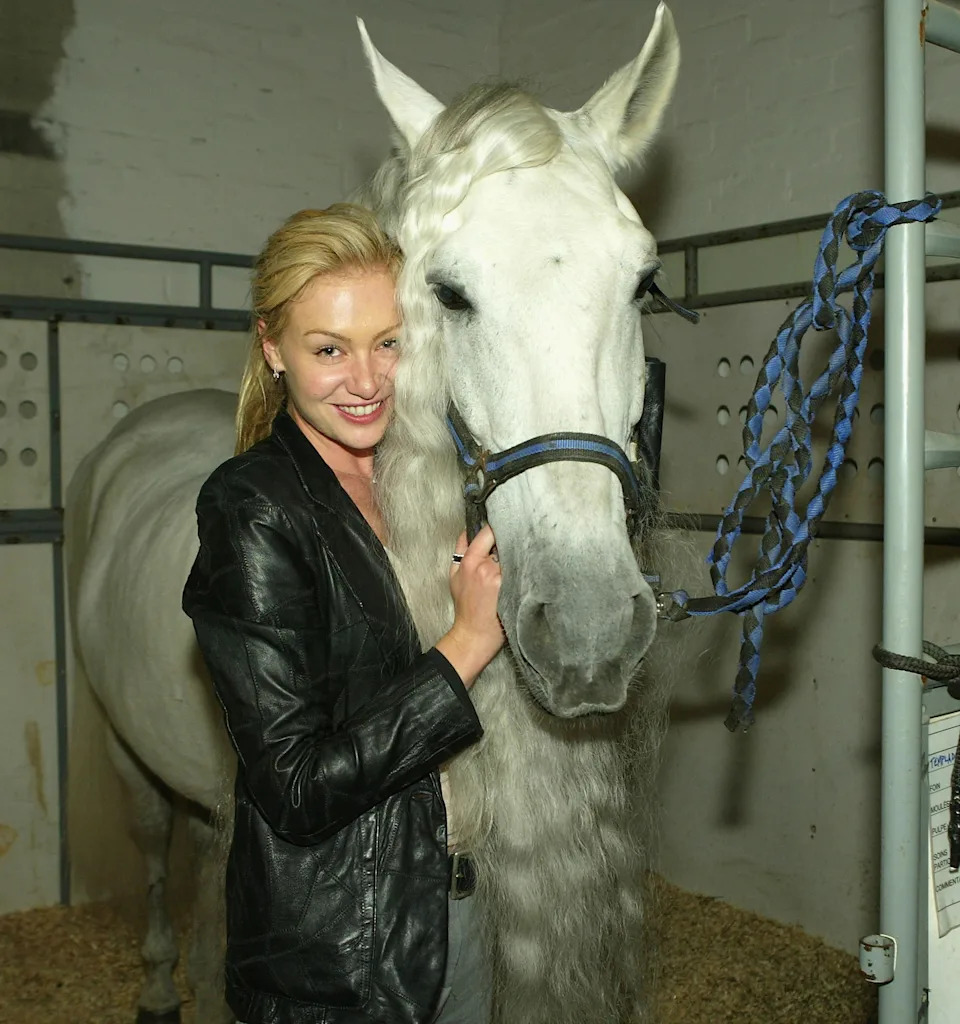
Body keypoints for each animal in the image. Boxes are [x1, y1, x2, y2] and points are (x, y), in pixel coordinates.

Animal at [65, 5, 682, 1022]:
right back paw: (158, 983)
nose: (588, 628)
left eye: (643, 283)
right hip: (123, 748)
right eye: (448, 292)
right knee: (155, 844)